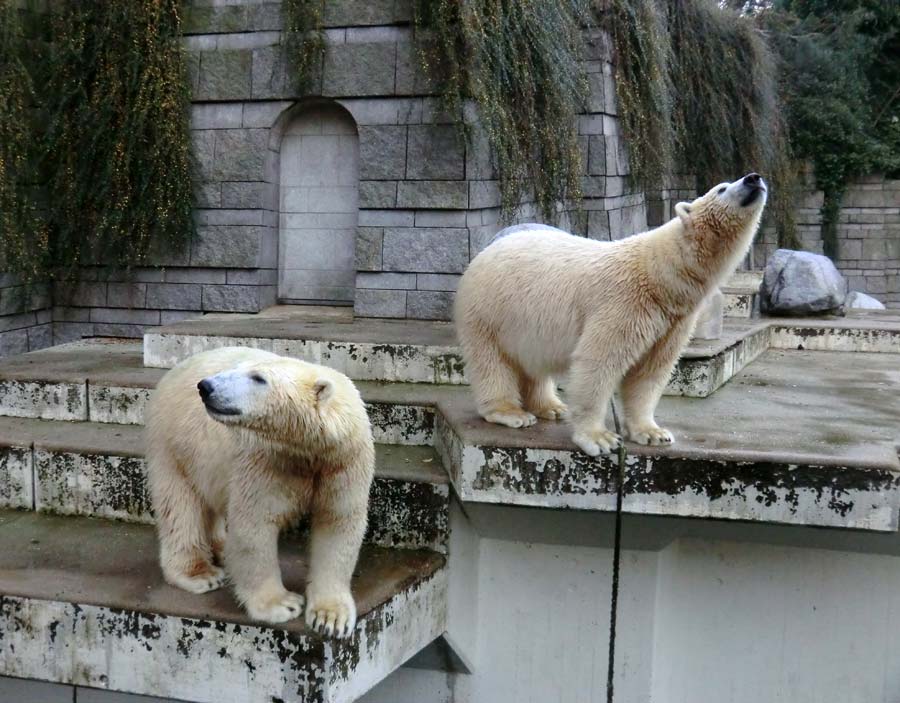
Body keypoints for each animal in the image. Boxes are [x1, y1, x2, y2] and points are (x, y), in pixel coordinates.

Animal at [146, 346, 374, 640]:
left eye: (258, 378)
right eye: (240, 369)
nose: (206, 386)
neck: (309, 452)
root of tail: (175, 370)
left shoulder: (343, 463)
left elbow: (338, 524)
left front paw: (331, 619)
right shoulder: (266, 461)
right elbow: (254, 527)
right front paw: (283, 605)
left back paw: (222, 549)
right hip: (174, 443)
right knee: (180, 507)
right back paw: (200, 574)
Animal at [454, 171, 768, 456]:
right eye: (722, 188)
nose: (754, 177)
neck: (661, 274)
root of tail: (487, 248)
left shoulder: (673, 321)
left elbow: (652, 370)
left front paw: (653, 433)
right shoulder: (624, 303)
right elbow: (599, 361)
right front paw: (599, 438)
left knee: (534, 364)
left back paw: (552, 407)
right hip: (487, 310)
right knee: (491, 361)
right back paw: (512, 412)